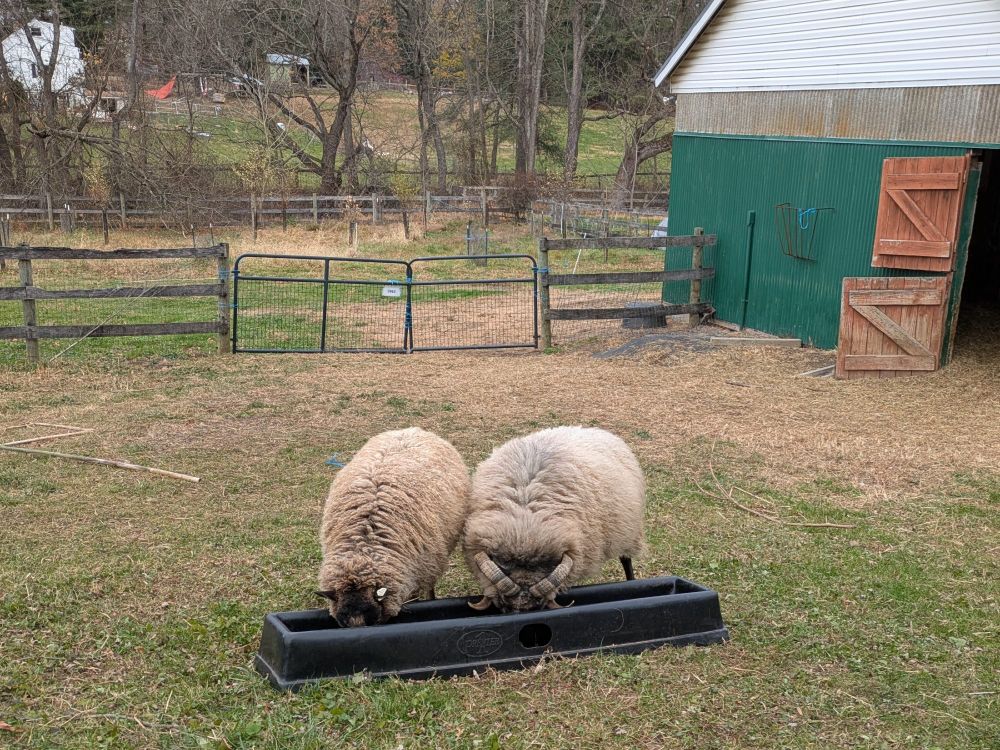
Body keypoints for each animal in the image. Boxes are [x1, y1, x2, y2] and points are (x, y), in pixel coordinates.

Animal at [462, 426, 646, 613]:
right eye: (504, 605)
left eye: (539, 605)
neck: (526, 525)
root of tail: (595, 429)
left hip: (629, 531)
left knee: (626, 559)